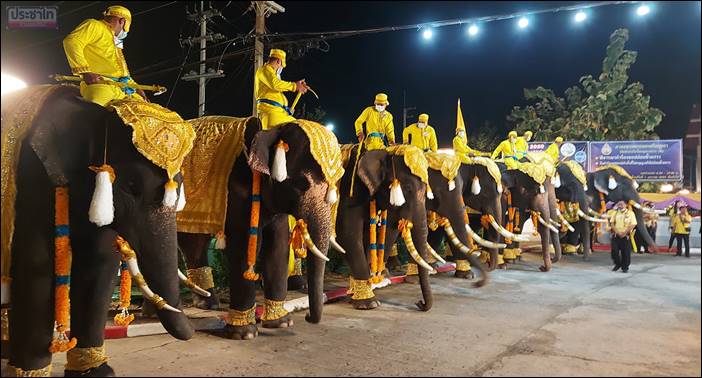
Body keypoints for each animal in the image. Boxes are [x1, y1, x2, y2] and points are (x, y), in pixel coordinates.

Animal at [334, 145, 434, 310]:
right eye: (407, 188)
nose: (419, 303)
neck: (383, 151)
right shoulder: (350, 191)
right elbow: (346, 234)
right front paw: (369, 303)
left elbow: (387, 232)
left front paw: (356, 294)